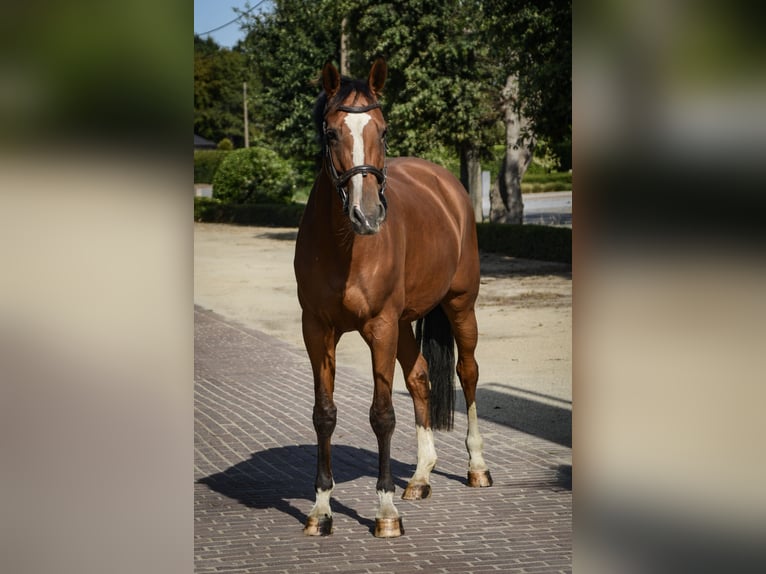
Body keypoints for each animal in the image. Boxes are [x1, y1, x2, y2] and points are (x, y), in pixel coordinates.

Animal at [294, 58, 492, 538]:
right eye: (332, 133)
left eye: (382, 132)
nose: (367, 215)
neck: (344, 245)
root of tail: (444, 182)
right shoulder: (317, 330)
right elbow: (323, 413)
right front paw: (320, 509)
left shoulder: (379, 326)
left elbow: (382, 414)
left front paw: (384, 512)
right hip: (404, 322)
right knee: (419, 377)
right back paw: (420, 476)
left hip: (460, 306)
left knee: (468, 372)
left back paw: (477, 466)